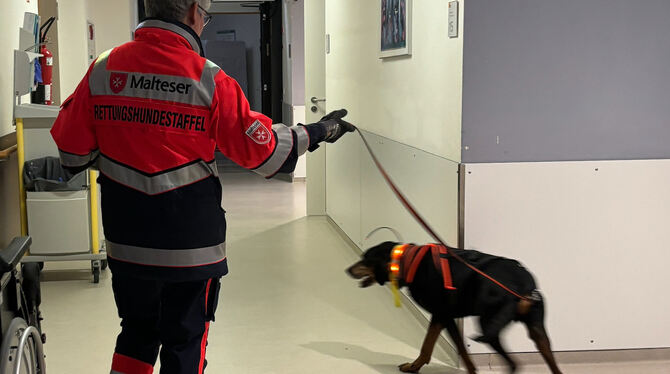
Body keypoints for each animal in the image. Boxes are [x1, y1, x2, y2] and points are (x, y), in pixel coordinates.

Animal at [350, 243, 564, 374]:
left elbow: (441, 348)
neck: (409, 262)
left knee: (512, 363)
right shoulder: (443, 317)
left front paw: (414, 366)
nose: (348, 270)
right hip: (536, 331)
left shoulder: (444, 316)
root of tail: (523, 286)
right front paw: (415, 366)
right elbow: (436, 347)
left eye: (366, 259)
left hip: (488, 326)